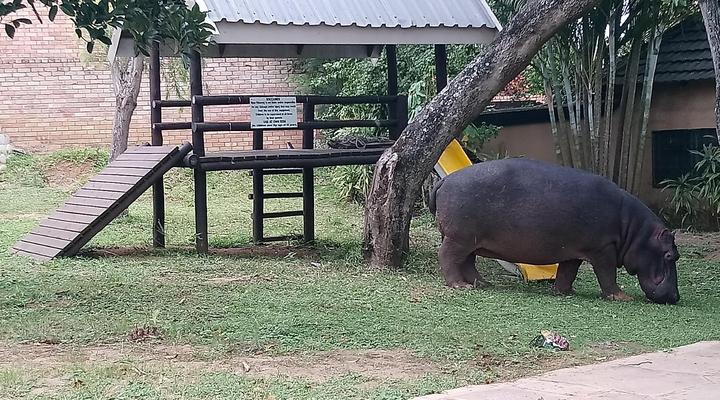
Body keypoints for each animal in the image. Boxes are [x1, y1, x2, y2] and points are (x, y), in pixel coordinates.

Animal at [429, 158, 680, 304]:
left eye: (677, 255)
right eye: (670, 255)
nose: (676, 297)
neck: (634, 230)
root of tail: (444, 181)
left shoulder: (575, 250)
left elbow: (567, 272)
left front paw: (566, 292)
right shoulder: (603, 248)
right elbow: (607, 275)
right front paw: (621, 297)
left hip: (470, 240)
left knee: (467, 262)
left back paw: (482, 284)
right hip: (459, 238)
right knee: (448, 257)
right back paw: (459, 286)